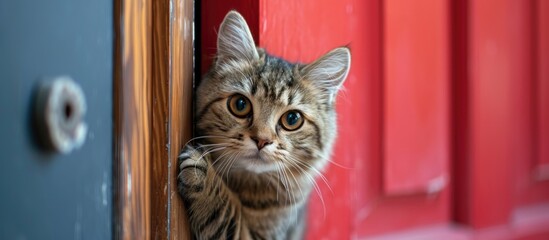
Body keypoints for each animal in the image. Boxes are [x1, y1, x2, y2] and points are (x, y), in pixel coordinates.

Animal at [179, 10, 352, 239]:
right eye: (240, 105)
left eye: (292, 119)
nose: (261, 140)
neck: (249, 185)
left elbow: (225, 213)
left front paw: (204, 175)